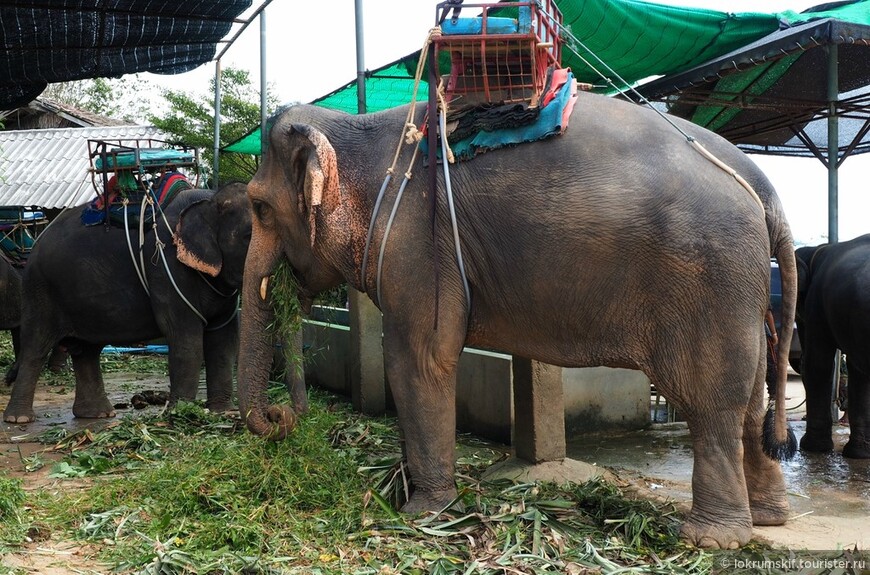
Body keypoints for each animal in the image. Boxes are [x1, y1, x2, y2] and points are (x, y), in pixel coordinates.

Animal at [3, 182, 254, 426]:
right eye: (249, 235)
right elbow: (185, 338)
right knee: (35, 347)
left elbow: (224, 340)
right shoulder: (166, 267)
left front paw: (223, 413)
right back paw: (19, 419)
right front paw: (181, 414)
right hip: (40, 290)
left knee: (87, 351)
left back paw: (97, 415)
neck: (210, 198)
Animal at [237, 95, 796, 552]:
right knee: (751, 405)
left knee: (711, 406)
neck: (357, 130)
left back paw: (711, 539)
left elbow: (418, 362)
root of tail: (765, 192)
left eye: (259, 207)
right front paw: (402, 485)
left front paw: (423, 514)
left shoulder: (417, 244)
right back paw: (769, 521)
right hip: (739, 292)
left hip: (708, 282)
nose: (282, 418)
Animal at [796, 234, 870, 460]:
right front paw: (859, 454)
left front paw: (811, 447)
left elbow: (817, 364)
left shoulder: (816, 303)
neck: (817, 250)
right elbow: (859, 374)